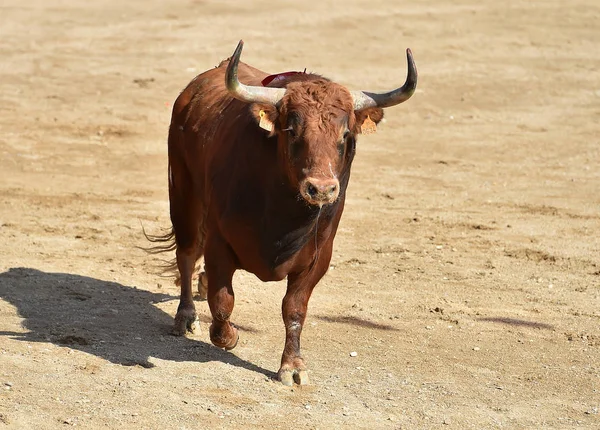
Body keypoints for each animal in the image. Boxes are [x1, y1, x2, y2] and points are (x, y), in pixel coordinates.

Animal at [154, 39, 418, 382]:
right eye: (292, 131)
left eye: (346, 135)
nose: (321, 189)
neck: (282, 217)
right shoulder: (218, 243)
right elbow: (223, 301)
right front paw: (229, 336)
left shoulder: (318, 258)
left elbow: (294, 308)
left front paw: (292, 366)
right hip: (183, 193)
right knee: (186, 254)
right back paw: (186, 316)